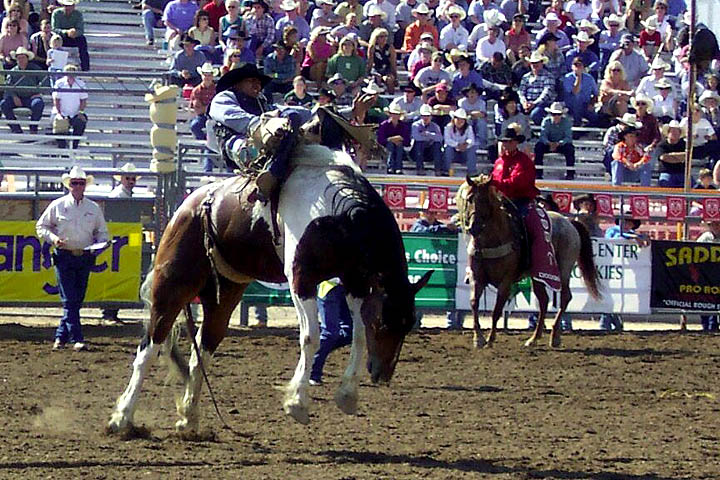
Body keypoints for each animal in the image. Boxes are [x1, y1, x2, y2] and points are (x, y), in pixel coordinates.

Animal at [107, 144, 434, 434]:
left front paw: (347, 395)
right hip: (172, 286)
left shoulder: (356, 281)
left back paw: (189, 418)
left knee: (203, 348)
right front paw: (297, 403)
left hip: (225, 294)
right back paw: (122, 419)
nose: (382, 374)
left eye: (407, 325)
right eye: (384, 323)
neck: (336, 214)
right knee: (150, 348)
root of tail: (187, 207)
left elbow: (357, 335)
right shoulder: (301, 278)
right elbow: (311, 337)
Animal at [456, 176, 600, 348]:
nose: (474, 227)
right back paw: (534, 338)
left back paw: (554, 337)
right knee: (543, 301)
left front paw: (490, 339)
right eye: (469, 198)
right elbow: (473, 303)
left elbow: (497, 310)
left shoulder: (506, 281)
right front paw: (478, 338)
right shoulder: (477, 277)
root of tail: (570, 223)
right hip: (537, 276)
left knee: (565, 297)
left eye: (485, 199)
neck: (492, 239)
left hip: (564, 269)